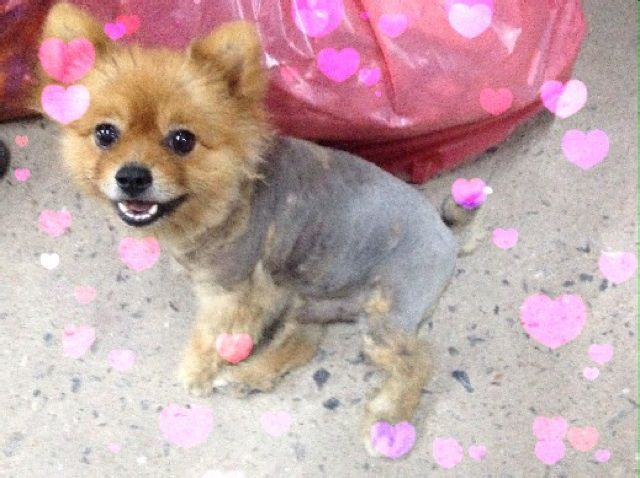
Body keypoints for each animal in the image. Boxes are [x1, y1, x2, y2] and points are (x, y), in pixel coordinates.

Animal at [38, 3, 474, 457]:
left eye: (182, 140)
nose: (133, 177)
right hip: (308, 298)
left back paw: (387, 420)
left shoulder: (233, 292)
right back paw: (250, 376)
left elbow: (210, 335)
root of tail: (446, 234)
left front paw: (196, 371)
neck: (227, 198)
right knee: (304, 343)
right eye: (105, 134)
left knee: (417, 360)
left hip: (384, 317)